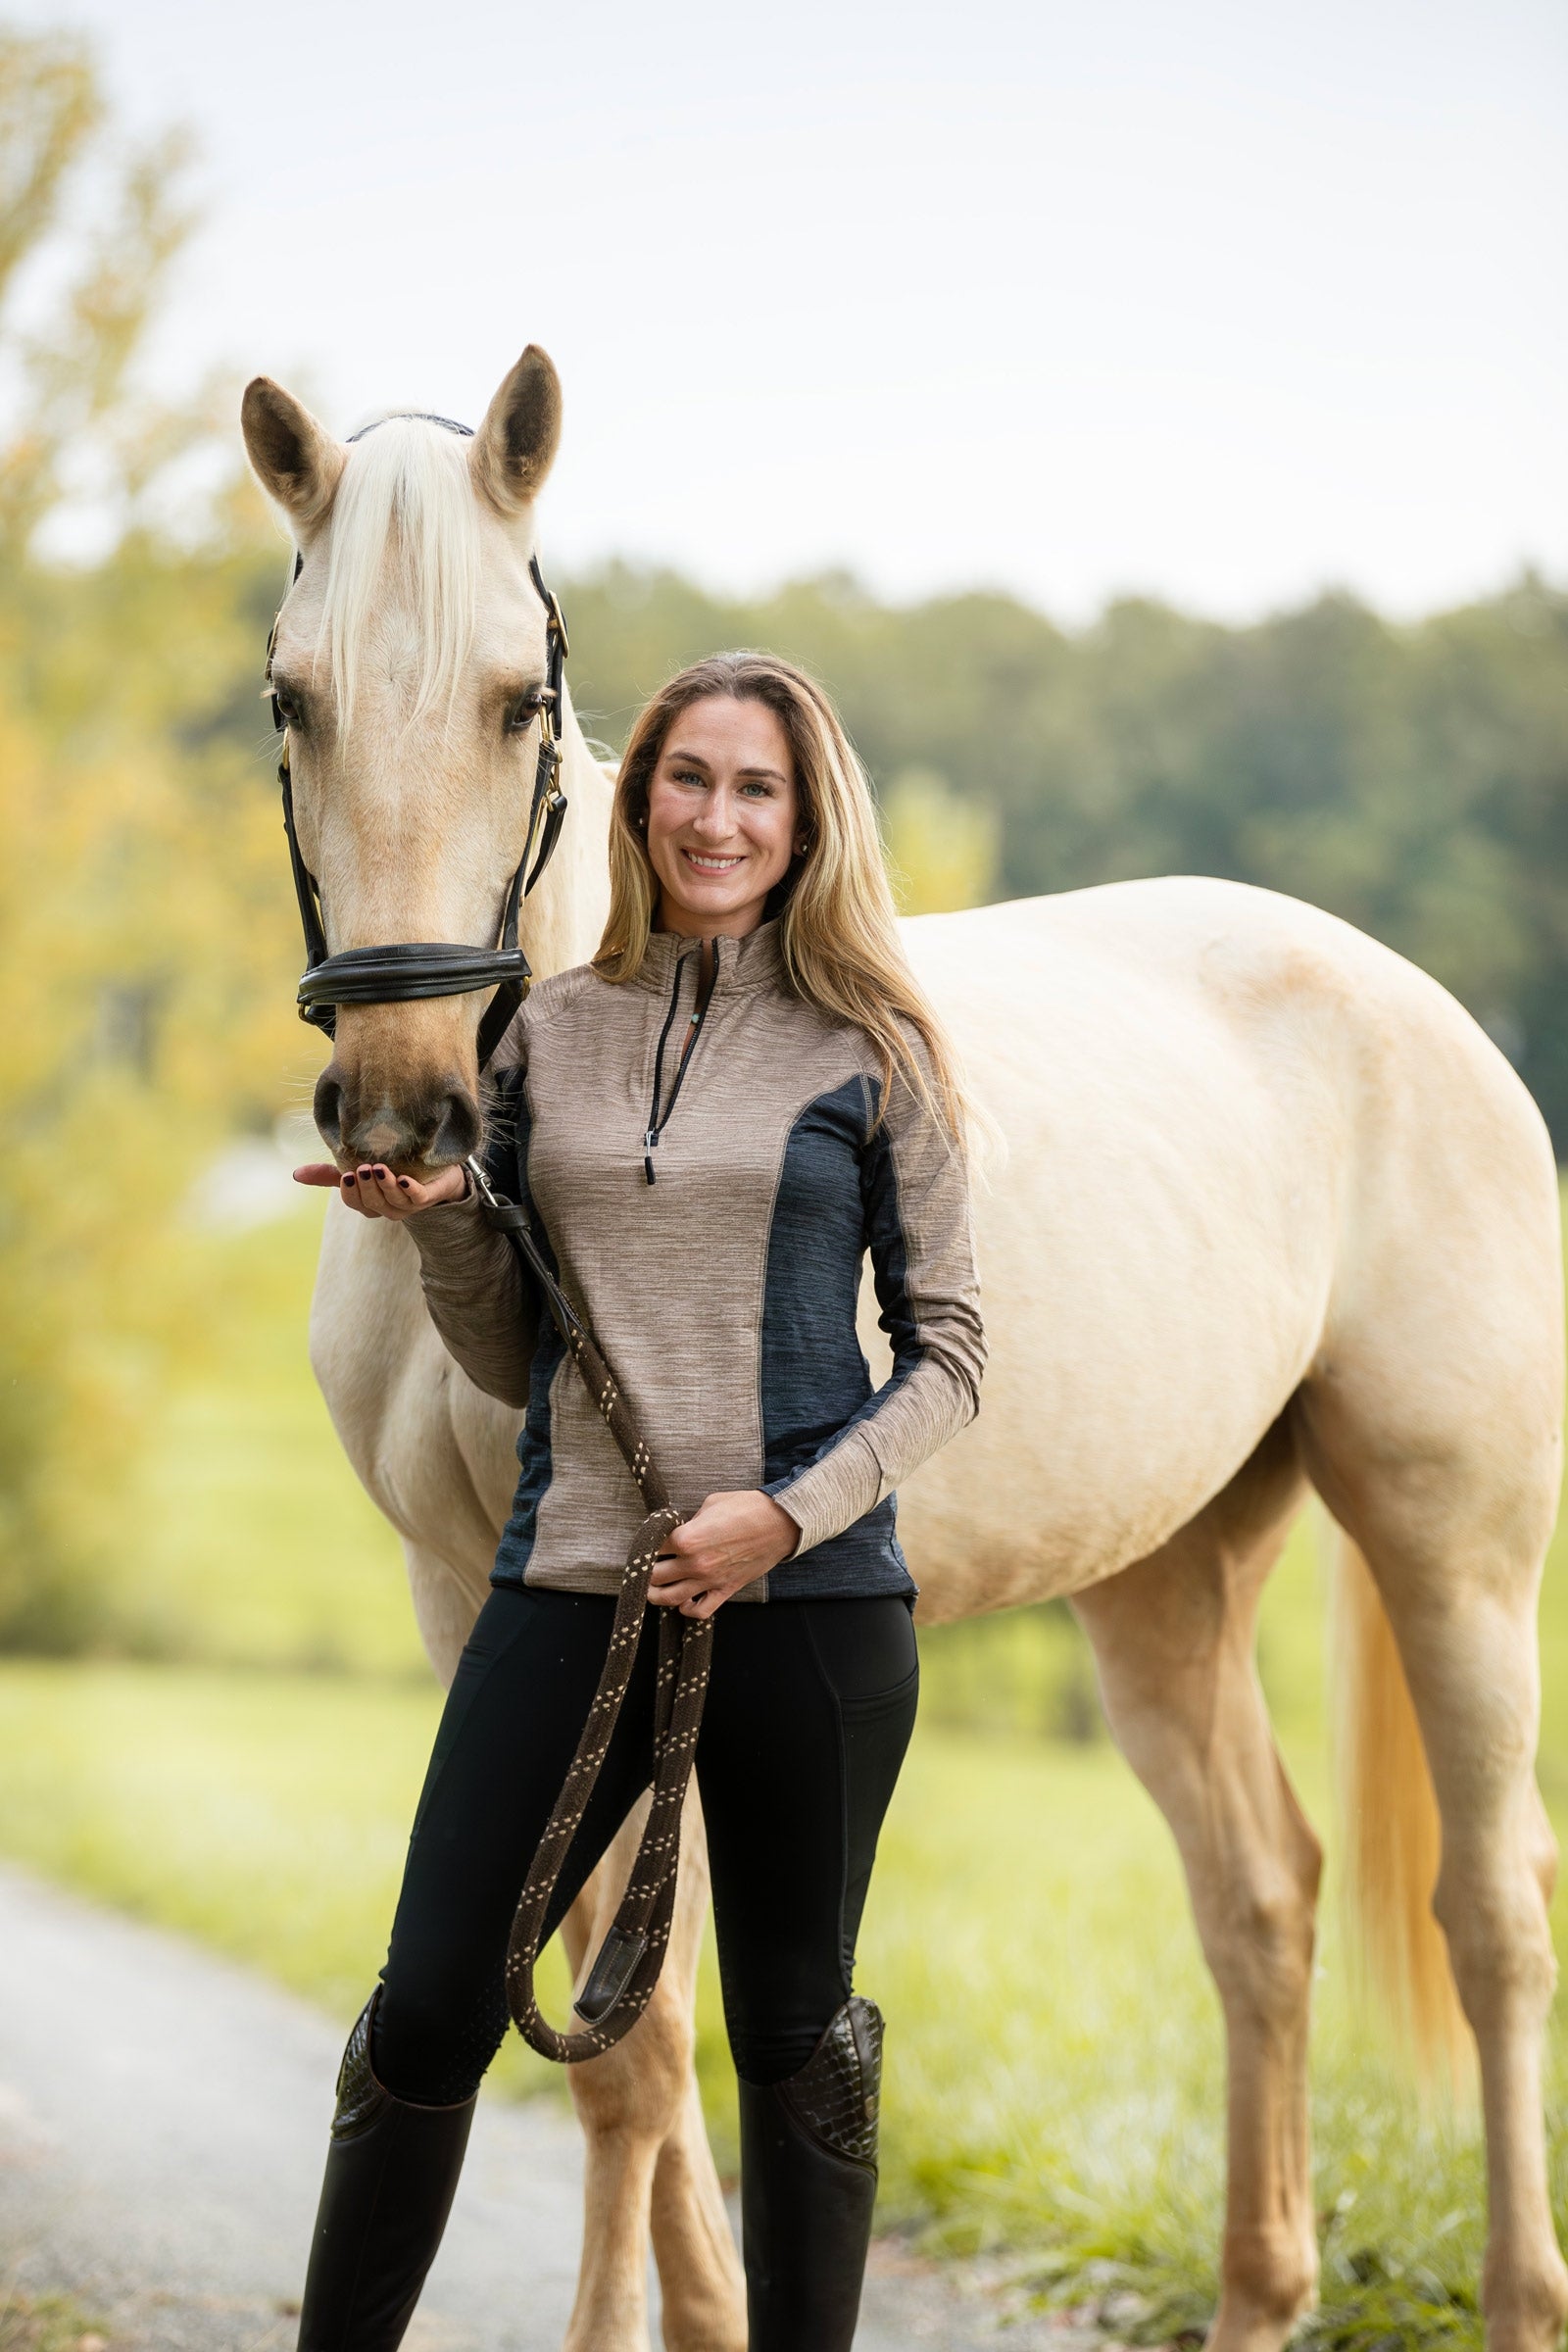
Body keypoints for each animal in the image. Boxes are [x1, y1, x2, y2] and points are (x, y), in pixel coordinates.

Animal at [242, 346, 1567, 2352]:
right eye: (291, 700)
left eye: (511, 700)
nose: (409, 1110)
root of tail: (1421, 1005)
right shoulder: (488, 1612)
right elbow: (606, 2021)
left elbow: (638, 2060)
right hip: (1171, 1578)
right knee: (1262, 1902)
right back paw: (1261, 2289)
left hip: (1454, 1546)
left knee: (1490, 1920)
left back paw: (1514, 2291)